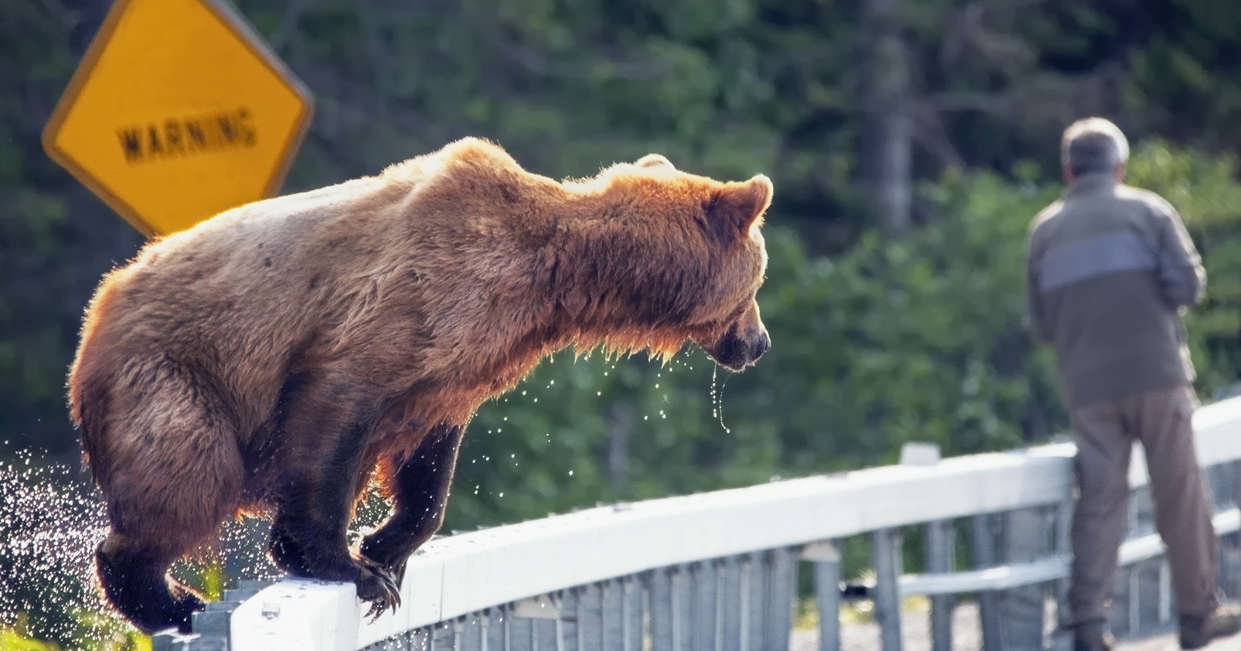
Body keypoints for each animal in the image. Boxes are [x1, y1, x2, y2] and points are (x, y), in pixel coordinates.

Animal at [67, 137, 769, 629]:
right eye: (759, 279)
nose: (759, 343)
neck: (552, 277)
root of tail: (95, 315)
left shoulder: (459, 366)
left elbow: (428, 463)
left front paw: (387, 550)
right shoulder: (399, 307)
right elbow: (333, 416)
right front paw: (349, 567)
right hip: (174, 376)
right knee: (187, 474)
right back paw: (173, 598)